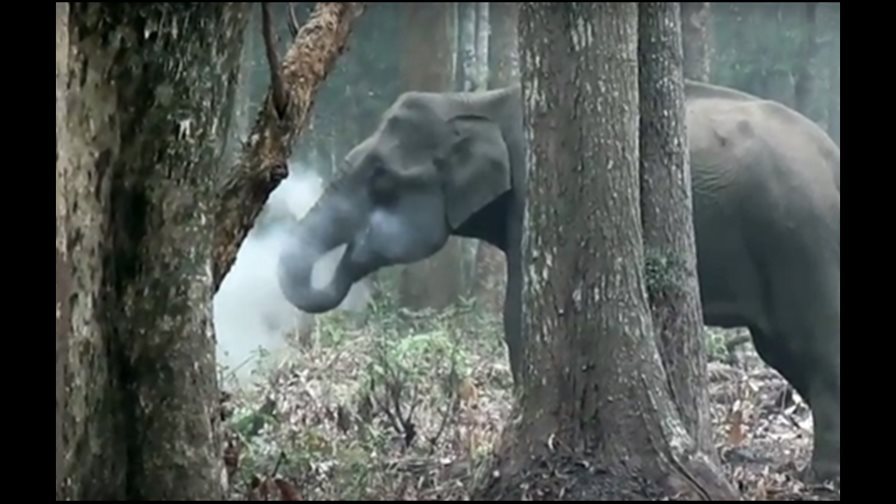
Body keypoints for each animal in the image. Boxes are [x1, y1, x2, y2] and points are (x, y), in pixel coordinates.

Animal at [276, 81, 840, 482]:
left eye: (381, 179)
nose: (356, 250)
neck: (479, 100)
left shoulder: (537, 193)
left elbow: (518, 314)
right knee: (786, 352)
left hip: (802, 241)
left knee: (813, 347)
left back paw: (819, 477)